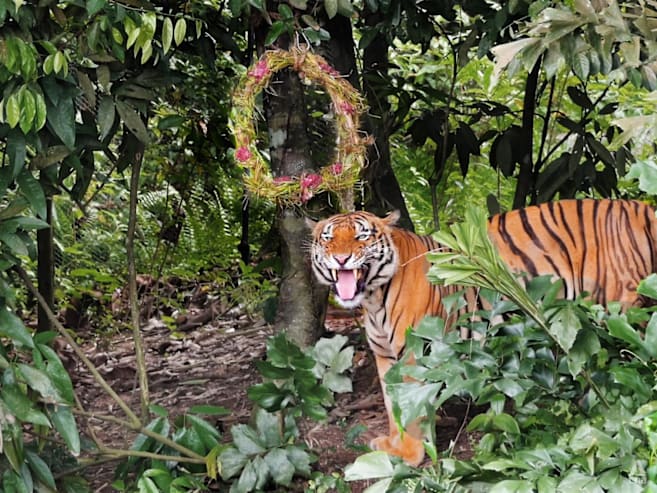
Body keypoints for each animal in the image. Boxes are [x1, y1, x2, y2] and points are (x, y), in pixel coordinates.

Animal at [307, 198, 657, 466]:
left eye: (361, 238)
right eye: (328, 239)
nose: (341, 258)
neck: (373, 298)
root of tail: (641, 206)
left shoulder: (413, 353)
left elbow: (411, 407)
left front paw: (410, 455)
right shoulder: (384, 355)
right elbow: (393, 405)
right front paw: (395, 445)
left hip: (623, 309)